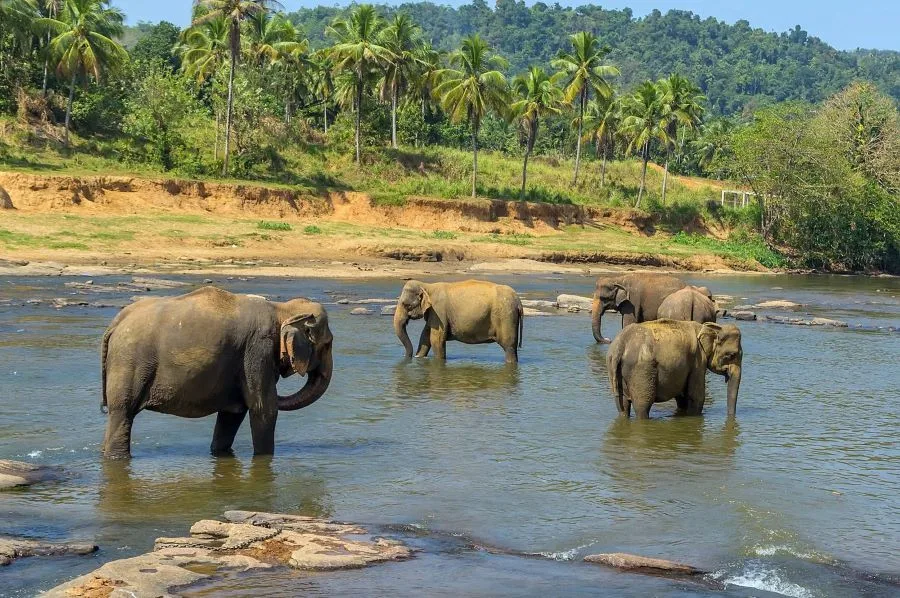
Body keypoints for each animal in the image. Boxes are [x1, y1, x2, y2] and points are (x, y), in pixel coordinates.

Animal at [100, 286, 334, 459]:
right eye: (327, 344)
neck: (280, 309)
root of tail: (115, 323)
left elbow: (233, 412)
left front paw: (220, 453)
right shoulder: (258, 349)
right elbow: (263, 409)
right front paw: (264, 459)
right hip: (129, 362)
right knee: (123, 412)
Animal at [393, 279, 524, 363]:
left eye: (406, 305)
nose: (407, 356)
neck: (427, 286)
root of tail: (518, 301)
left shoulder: (438, 311)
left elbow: (436, 340)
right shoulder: (433, 314)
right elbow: (425, 336)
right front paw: (419, 357)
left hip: (505, 317)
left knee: (509, 347)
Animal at [606, 319, 743, 418]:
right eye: (731, 355)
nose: (731, 418)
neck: (708, 327)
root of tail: (620, 345)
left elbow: (682, 398)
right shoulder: (698, 360)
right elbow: (696, 396)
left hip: (614, 368)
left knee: (622, 404)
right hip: (641, 370)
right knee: (642, 405)